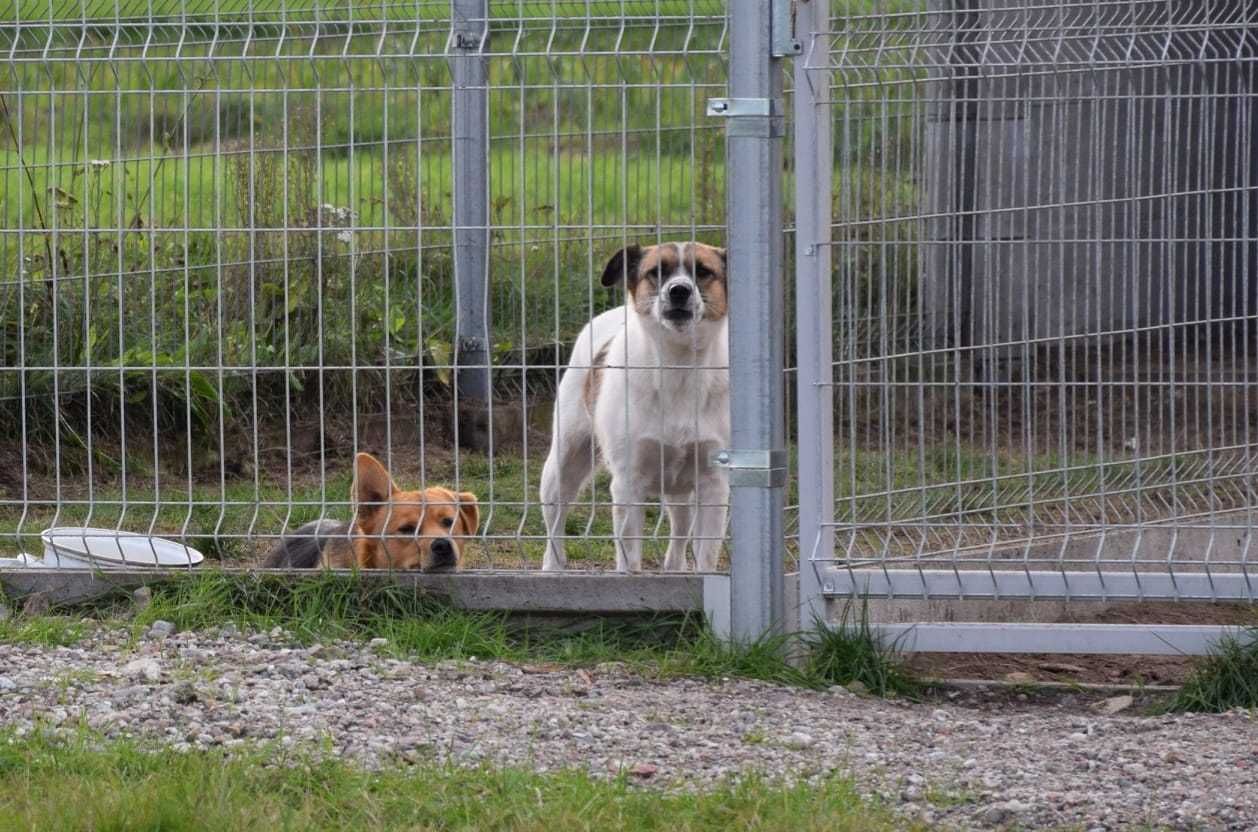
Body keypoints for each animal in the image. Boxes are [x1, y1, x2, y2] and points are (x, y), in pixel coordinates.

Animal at [538, 236, 734, 568]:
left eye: (704, 271)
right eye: (656, 272)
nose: (678, 291)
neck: (677, 366)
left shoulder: (713, 484)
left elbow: (705, 557)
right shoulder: (629, 484)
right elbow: (629, 561)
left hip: (679, 490)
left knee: (679, 537)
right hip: (562, 467)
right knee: (555, 531)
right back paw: (553, 567)